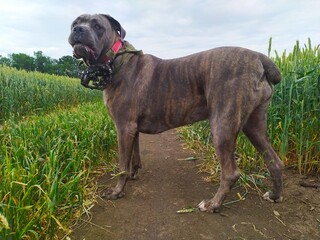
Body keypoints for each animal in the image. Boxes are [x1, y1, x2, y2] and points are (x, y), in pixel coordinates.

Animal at [69, 13, 284, 212]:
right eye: (74, 23)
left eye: (97, 26)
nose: (78, 30)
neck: (115, 60)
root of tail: (259, 57)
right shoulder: (132, 129)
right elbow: (134, 157)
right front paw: (132, 175)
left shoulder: (124, 127)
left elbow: (122, 164)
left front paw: (116, 191)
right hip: (254, 124)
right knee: (275, 162)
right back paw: (274, 195)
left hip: (222, 126)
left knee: (230, 172)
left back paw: (213, 204)